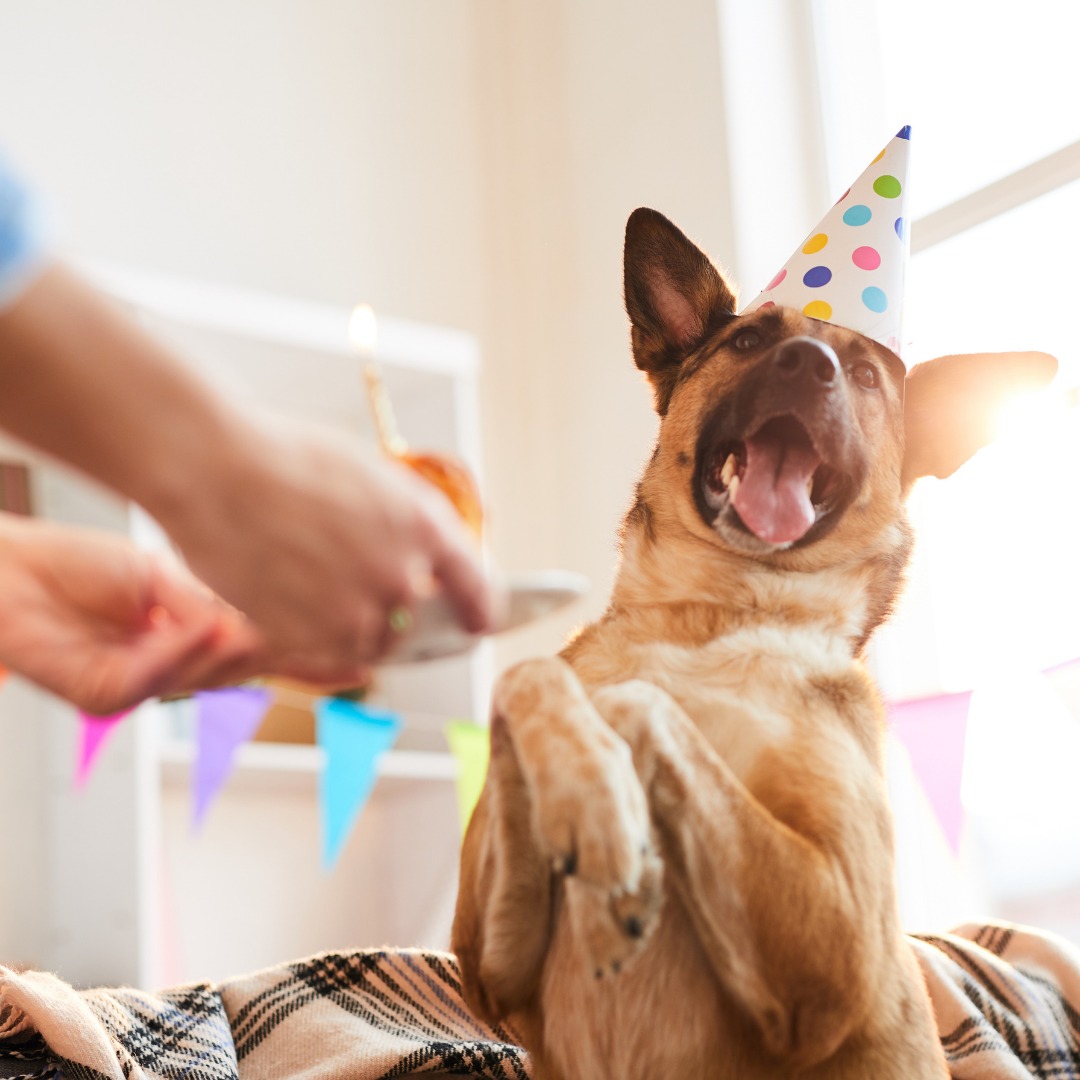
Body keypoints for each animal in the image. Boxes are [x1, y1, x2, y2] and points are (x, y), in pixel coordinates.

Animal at [451, 204, 1058, 1080]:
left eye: (865, 375)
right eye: (747, 342)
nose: (808, 365)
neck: (714, 614)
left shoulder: (833, 944)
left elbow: (639, 700)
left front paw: (605, 803)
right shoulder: (489, 965)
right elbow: (532, 675)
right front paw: (589, 791)